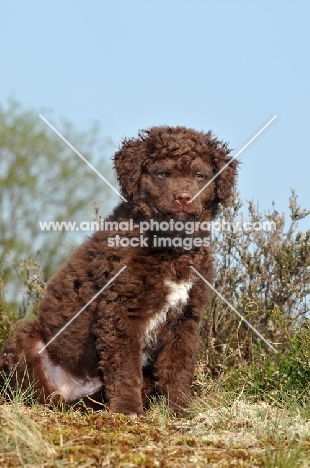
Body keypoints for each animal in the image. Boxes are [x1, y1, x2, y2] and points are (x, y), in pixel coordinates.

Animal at [0, 126, 237, 414]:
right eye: (162, 173)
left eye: (200, 175)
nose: (183, 198)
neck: (170, 248)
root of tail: (75, 390)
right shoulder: (122, 308)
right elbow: (124, 367)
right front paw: (127, 411)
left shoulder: (187, 316)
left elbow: (178, 365)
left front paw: (180, 407)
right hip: (29, 340)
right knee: (34, 390)